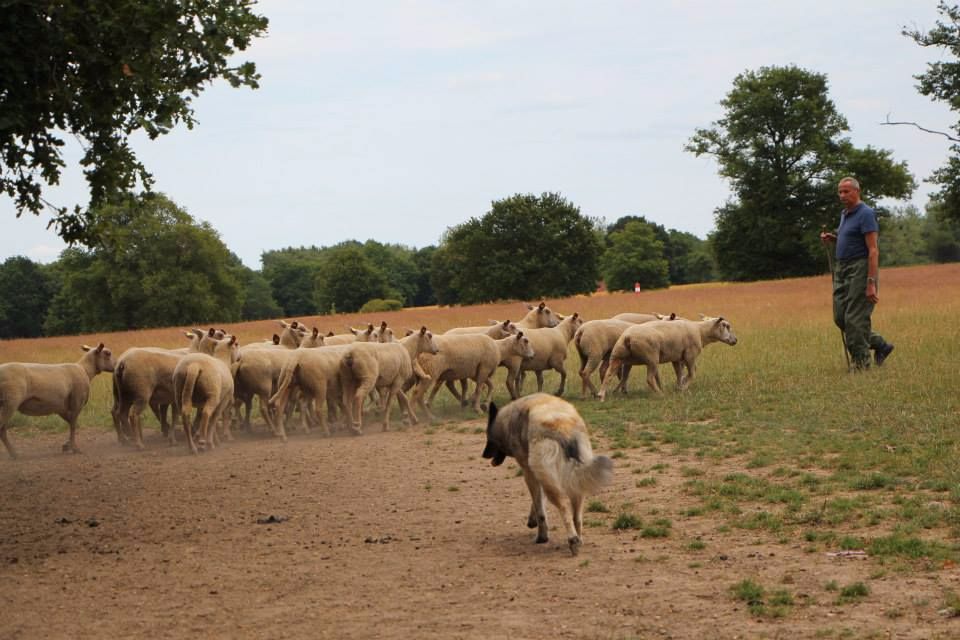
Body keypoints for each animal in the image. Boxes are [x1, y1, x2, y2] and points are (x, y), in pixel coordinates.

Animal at [484, 392, 612, 552]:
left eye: (487, 436)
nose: (483, 454)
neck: (507, 421)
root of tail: (562, 427)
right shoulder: (540, 475)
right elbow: (539, 503)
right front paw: (532, 519)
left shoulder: (529, 473)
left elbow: (540, 510)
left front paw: (542, 537)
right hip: (573, 482)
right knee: (576, 516)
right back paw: (579, 538)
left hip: (553, 485)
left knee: (563, 507)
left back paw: (573, 539)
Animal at [596, 316, 740, 400]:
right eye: (726, 326)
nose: (735, 340)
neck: (700, 332)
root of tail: (627, 337)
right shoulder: (690, 355)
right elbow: (692, 373)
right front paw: (683, 388)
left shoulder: (676, 358)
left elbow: (679, 373)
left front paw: (679, 386)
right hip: (651, 358)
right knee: (649, 379)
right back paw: (660, 394)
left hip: (618, 357)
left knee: (609, 374)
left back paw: (601, 395)